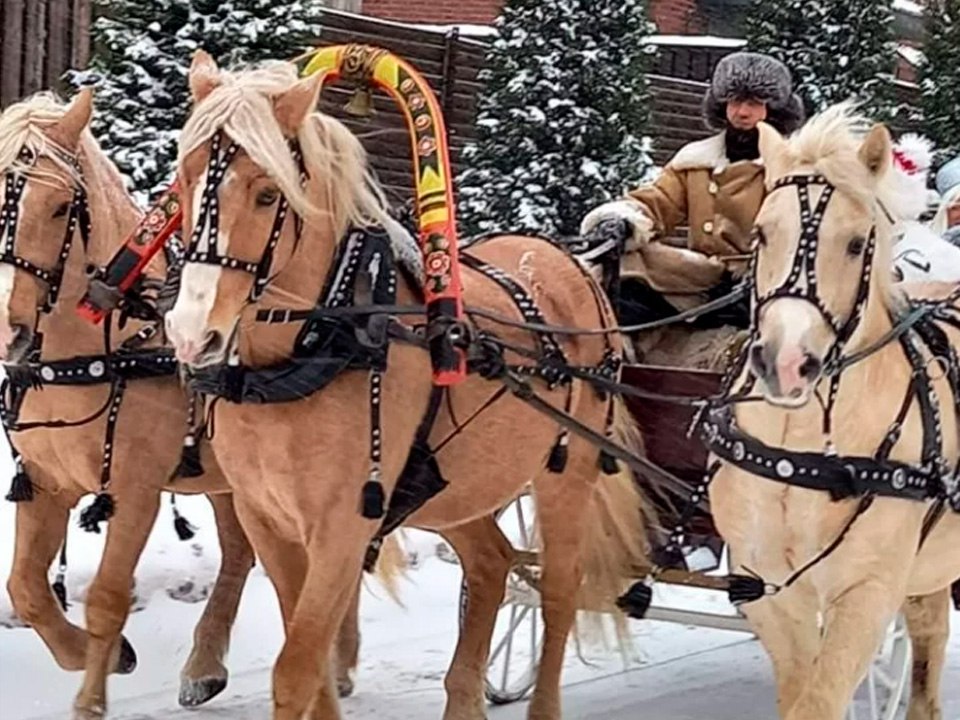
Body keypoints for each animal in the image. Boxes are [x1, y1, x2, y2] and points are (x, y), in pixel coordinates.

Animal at [0, 88, 376, 716]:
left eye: (58, 208)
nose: (7, 330)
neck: (97, 350)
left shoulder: (137, 488)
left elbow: (107, 597)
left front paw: (95, 688)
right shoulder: (46, 483)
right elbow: (26, 588)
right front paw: (95, 654)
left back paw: (332, 660)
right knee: (243, 553)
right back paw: (212, 665)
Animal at [161, 52, 648, 720]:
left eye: (267, 193)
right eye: (183, 182)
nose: (191, 333)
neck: (316, 347)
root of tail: (574, 262)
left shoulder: (341, 528)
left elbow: (296, 667)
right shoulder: (269, 520)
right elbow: (310, 662)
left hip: (564, 477)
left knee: (557, 592)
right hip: (456, 485)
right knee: (492, 566)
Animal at [704, 105, 960, 720]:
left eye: (855, 243)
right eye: (762, 232)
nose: (786, 362)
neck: (797, 449)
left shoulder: (867, 593)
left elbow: (822, 698)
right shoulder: (766, 587)